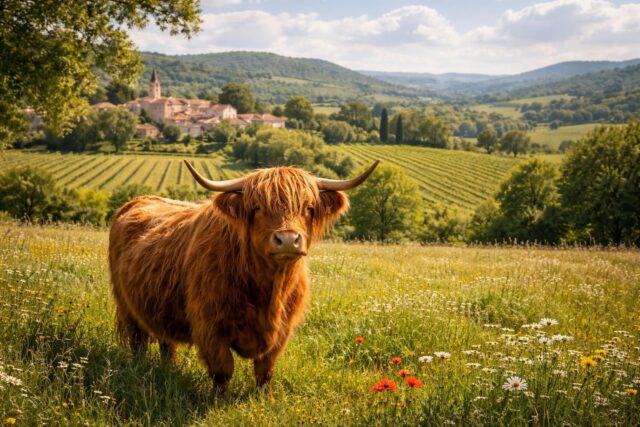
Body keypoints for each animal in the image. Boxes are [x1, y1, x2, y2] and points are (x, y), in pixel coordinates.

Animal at [108, 160, 379, 391]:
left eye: (309, 208)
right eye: (257, 208)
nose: (287, 240)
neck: (268, 288)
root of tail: (138, 201)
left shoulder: (282, 330)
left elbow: (265, 371)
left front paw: (264, 398)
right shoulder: (210, 326)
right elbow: (222, 370)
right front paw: (217, 401)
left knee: (167, 343)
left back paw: (169, 370)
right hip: (126, 305)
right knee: (138, 341)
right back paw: (140, 368)